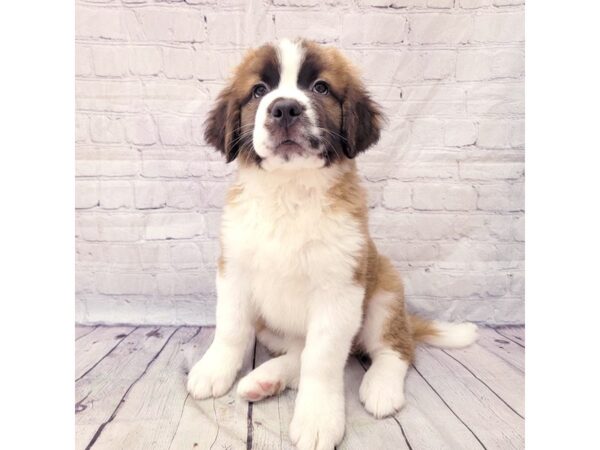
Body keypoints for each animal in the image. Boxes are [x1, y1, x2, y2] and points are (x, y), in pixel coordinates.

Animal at [188, 38, 478, 450]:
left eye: (320, 88)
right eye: (259, 91)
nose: (285, 108)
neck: (290, 192)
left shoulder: (339, 291)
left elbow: (322, 359)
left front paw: (317, 418)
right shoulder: (235, 272)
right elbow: (230, 329)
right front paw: (214, 370)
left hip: (384, 294)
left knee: (395, 348)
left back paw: (380, 387)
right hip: (275, 328)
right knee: (298, 349)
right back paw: (266, 378)